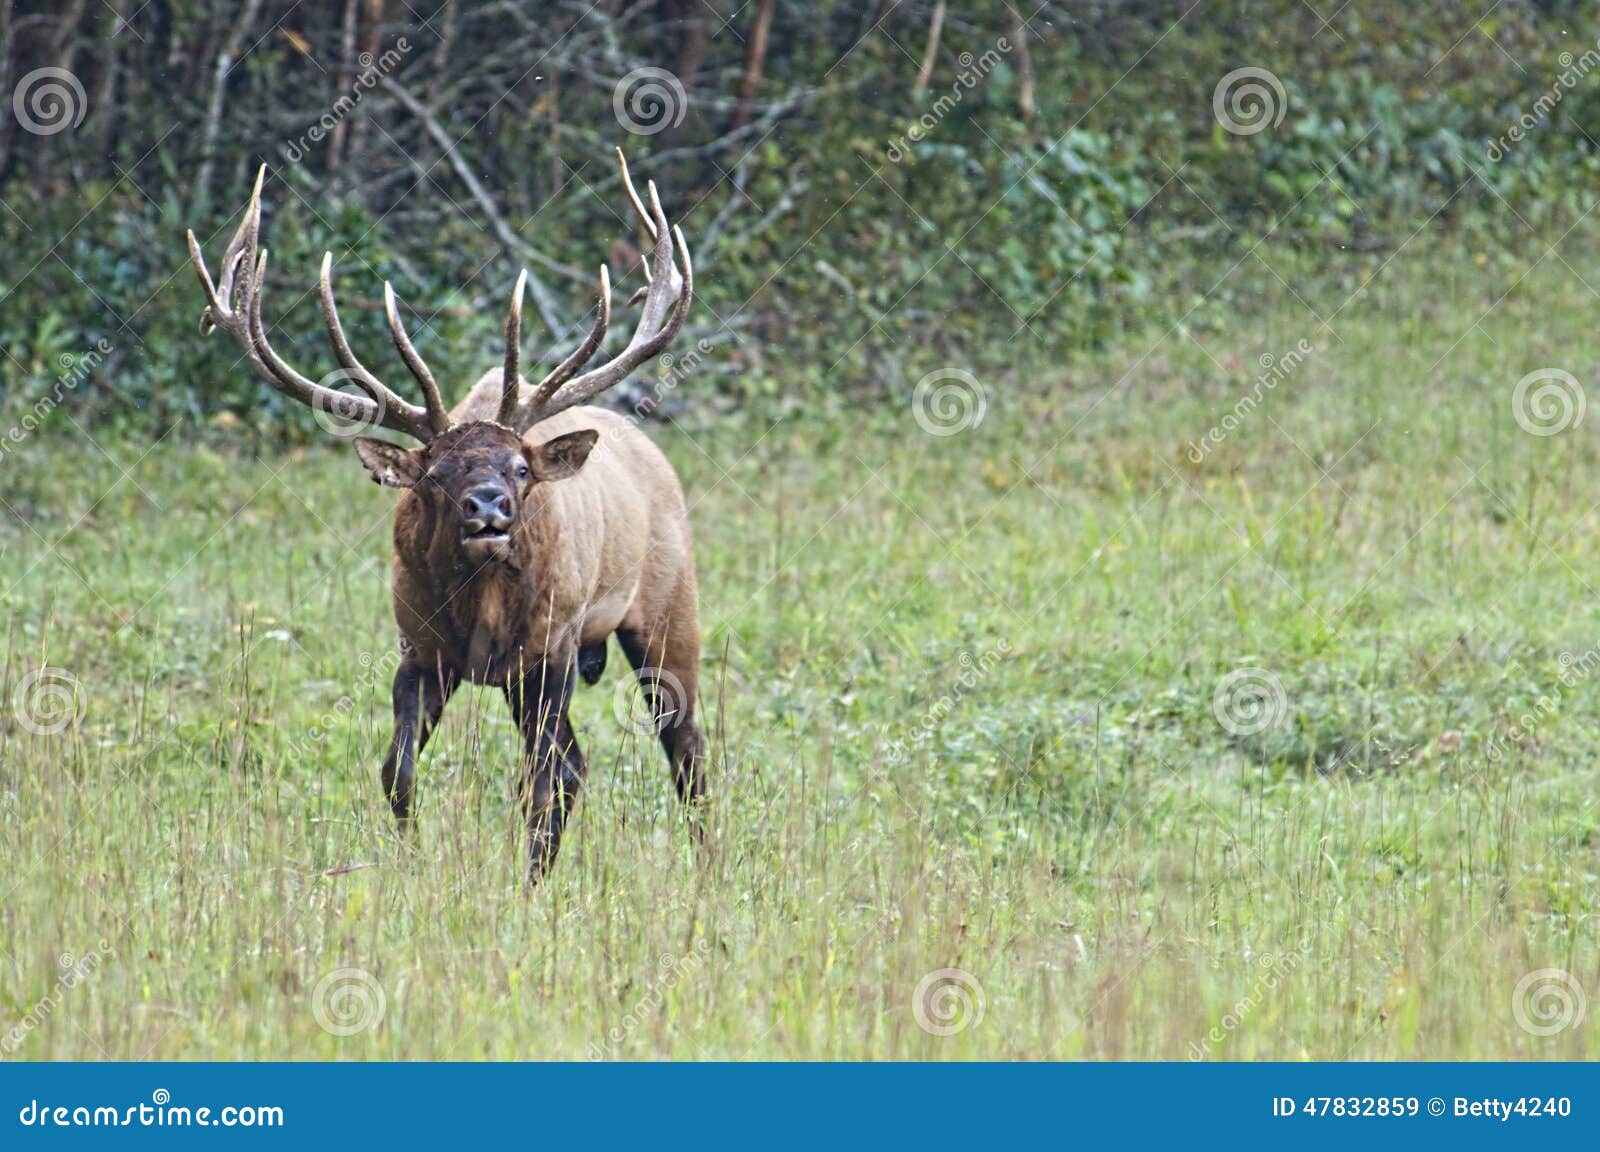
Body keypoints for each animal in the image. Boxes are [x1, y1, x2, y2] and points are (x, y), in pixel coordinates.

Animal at [185, 152, 706, 883]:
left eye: (520, 468)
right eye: (435, 474)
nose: (487, 508)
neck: (482, 605)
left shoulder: (551, 647)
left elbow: (546, 778)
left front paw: (530, 885)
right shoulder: (420, 647)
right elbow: (396, 769)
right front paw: (412, 861)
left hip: (665, 610)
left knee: (681, 750)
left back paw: (706, 864)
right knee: (587, 761)